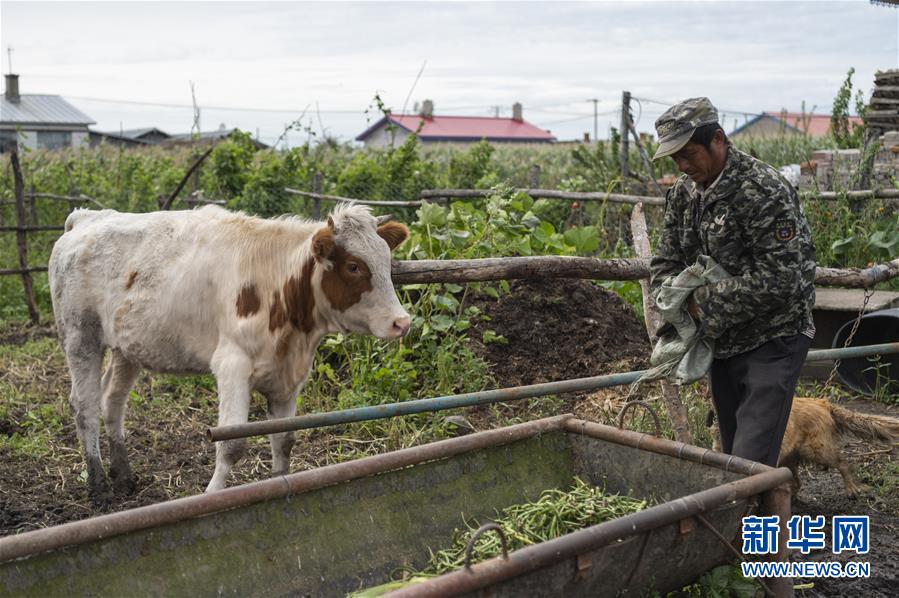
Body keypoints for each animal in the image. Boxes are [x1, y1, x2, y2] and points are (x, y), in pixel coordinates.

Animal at [51, 206, 410, 502]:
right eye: (353, 266)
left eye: (387, 262)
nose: (401, 322)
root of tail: (86, 217)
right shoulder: (232, 367)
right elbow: (231, 443)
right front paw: (213, 495)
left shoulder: (288, 377)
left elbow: (283, 440)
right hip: (80, 336)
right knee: (85, 407)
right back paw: (98, 486)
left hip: (127, 346)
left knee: (112, 401)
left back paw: (123, 476)